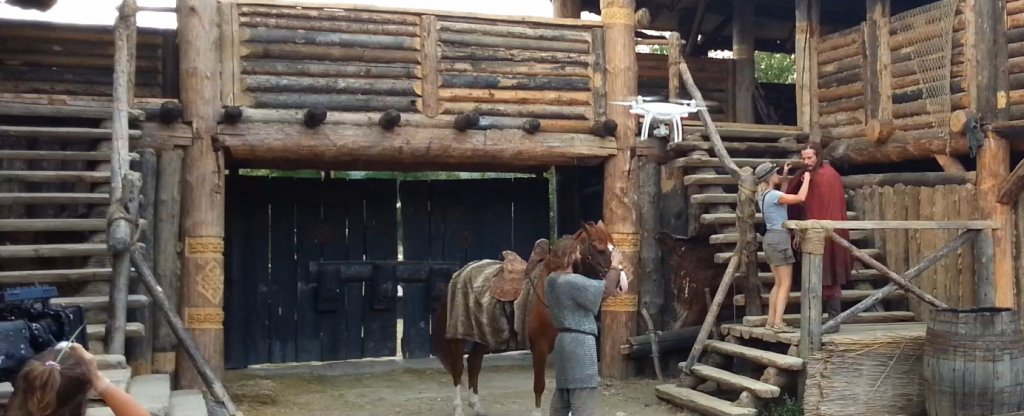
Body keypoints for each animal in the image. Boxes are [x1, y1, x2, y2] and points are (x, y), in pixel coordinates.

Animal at [430, 221, 610, 416]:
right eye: (599, 248)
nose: (614, 280)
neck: (546, 288)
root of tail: (458, 274)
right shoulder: (539, 347)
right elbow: (539, 385)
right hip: (458, 335)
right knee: (458, 368)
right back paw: (458, 409)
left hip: (483, 334)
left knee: (474, 363)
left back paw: (476, 406)